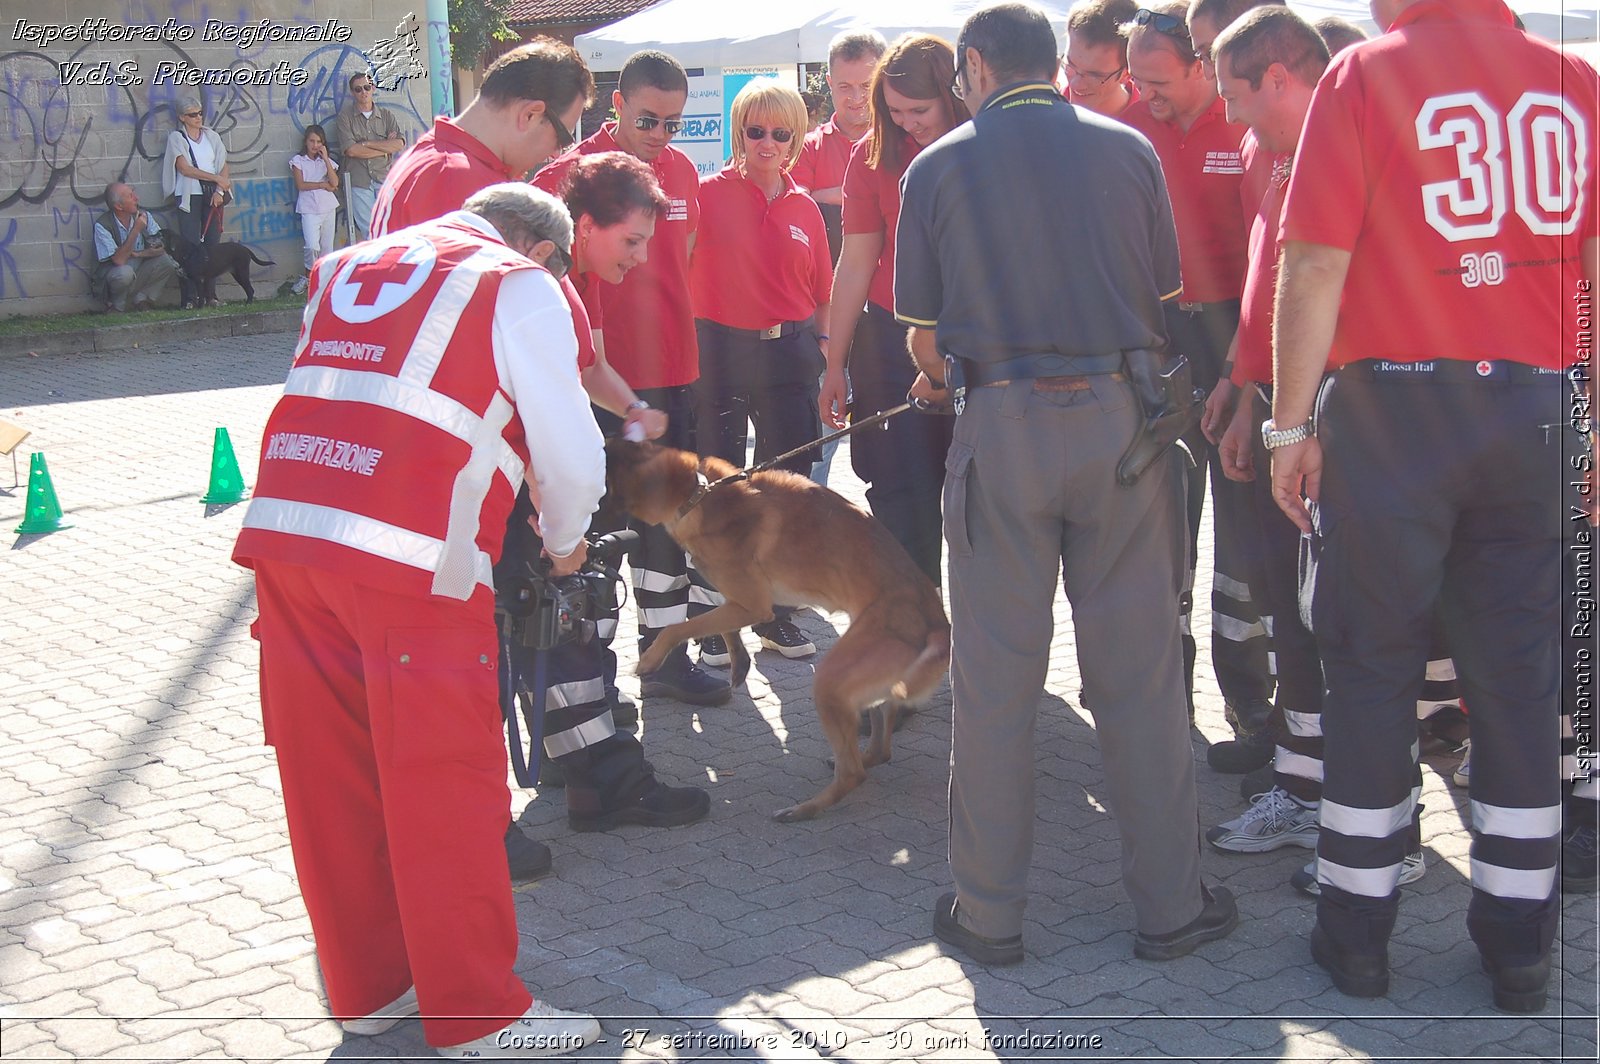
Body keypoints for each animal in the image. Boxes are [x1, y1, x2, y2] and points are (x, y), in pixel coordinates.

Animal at [601, 438, 947, 819]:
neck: (700, 494)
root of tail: (938, 623)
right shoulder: (740, 603)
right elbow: (718, 624)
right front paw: (739, 662)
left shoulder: (752, 603)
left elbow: (677, 628)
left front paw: (650, 660)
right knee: (881, 744)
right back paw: (867, 757)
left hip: (831, 680)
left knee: (853, 773)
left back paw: (806, 809)